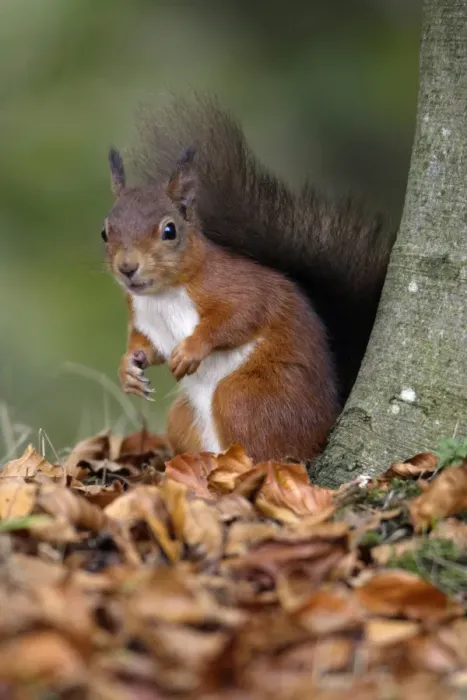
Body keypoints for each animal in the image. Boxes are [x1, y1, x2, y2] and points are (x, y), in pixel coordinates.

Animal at [102, 95, 395, 463]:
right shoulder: (144, 318)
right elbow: (146, 345)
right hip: (183, 417)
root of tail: (323, 430)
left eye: (170, 231)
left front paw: (190, 350)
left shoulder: (234, 285)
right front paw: (128, 368)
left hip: (246, 397)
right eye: (104, 232)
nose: (127, 267)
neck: (162, 297)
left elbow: (240, 315)